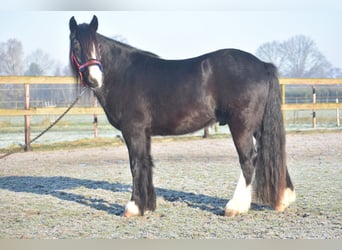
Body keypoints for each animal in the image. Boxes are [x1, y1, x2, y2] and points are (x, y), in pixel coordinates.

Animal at [69, 15, 294, 217]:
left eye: (97, 46)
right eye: (76, 44)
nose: (94, 79)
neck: (124, 74)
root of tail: (263, 65)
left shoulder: (133, 131)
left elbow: (136, 164)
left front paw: (133, 207)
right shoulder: (144, 133)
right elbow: (147, 162)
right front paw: (147, 206)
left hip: (241, 125)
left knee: (249, 159)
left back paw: (235, 207)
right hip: (258, 126)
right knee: (271, 153)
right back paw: (284, 199)